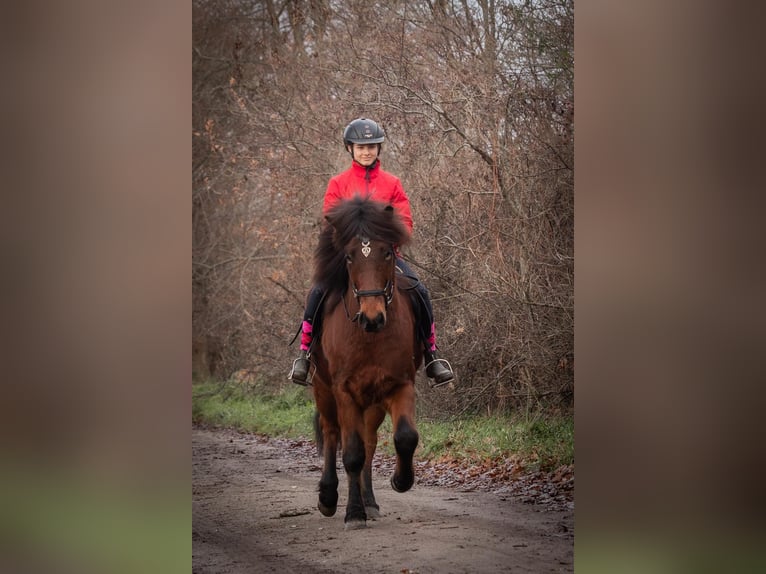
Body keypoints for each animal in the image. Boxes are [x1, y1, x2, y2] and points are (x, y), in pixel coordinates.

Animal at [309, 196, 422, 530]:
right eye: (348, 257)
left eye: (387, 252)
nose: (372, 318)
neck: (369, 337)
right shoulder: (343, 390)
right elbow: (352, 454)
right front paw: (353, 513)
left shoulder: (401, 384)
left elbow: (405, 437)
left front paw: (401, 481)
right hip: (323, 389)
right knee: (332, 433)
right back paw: (329, 497)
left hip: (372, 402)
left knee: (370, 443)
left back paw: (370, 501)